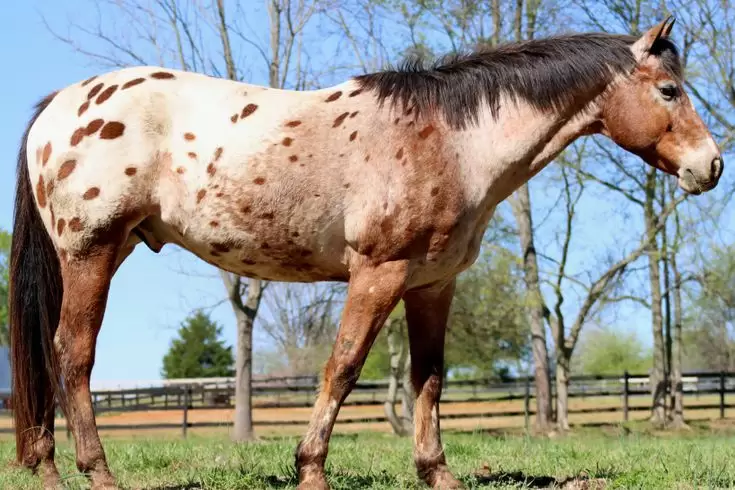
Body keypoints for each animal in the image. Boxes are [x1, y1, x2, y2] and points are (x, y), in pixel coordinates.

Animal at [9, 16, 722, 490]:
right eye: (668, 91)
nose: (711, 166)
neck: (453, 141)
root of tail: (58, 108)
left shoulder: (433, 285)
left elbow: (427, 379)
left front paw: (437, 474)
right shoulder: (379, 273)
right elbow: (344, 368)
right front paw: (310, 470)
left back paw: (47, 468)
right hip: (93, 253)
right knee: (72, 355)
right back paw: (97, 472)